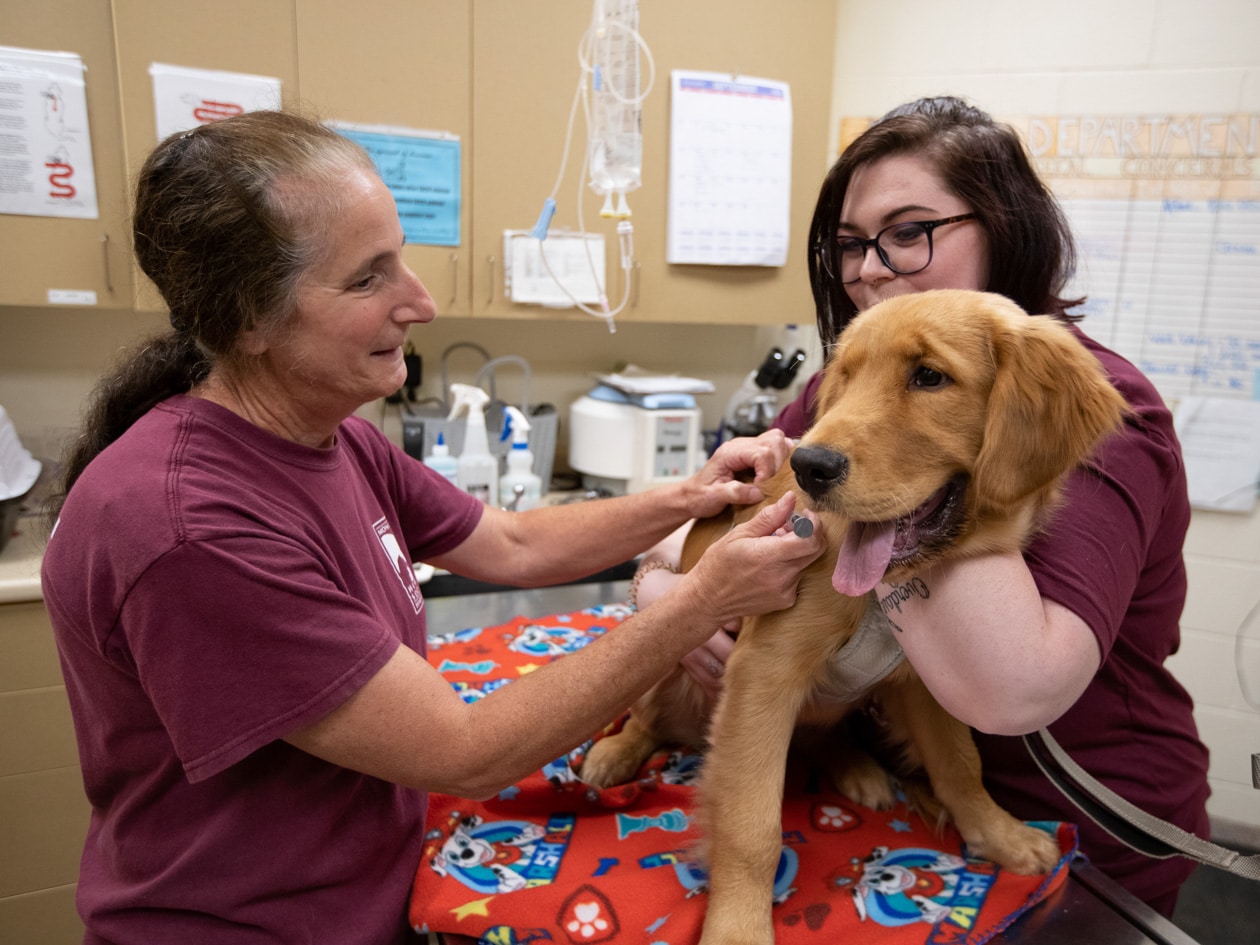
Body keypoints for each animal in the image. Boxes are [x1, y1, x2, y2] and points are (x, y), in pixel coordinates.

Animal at [584, 288, 1128, 945]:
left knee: (825, 736)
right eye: (844, 377)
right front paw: (738, 927)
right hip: (672, 663)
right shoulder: (764, 671)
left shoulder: (922, 682)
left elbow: (961, 766)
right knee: (645, 715)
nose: (808, 467)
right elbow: (751, 827)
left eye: (929, 377)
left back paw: (857, 769)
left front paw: (999, 836)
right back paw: (614, 754)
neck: (877, 593)